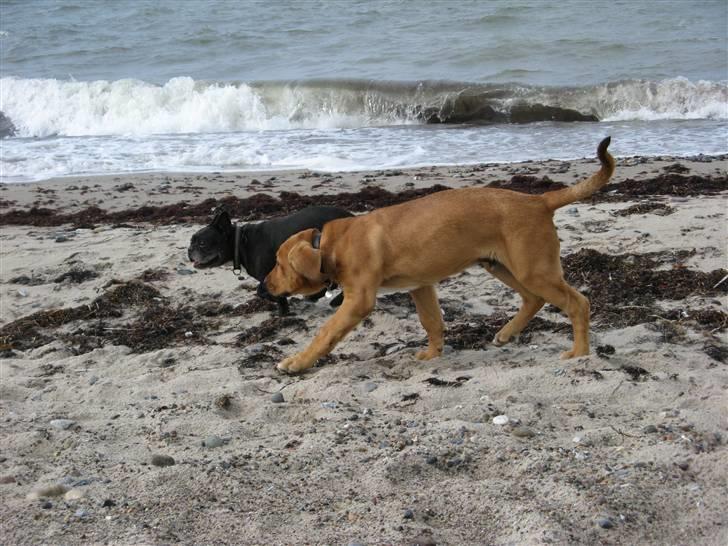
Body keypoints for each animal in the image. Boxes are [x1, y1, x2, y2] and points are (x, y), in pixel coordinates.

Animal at [189, 205, 352, 314]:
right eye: (191, 241)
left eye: (202, 243)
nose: (189, 250)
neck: (240, 242)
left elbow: (262, 291)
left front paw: (283, 311)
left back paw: (334, 300)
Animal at [264, 138, 616, 372]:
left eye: (279, 264)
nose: (265, 287)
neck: (328, 244)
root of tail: (538, 201)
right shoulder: (420, 286)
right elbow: (431, 321)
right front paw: (433, 355)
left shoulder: (358, 300)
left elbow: (325, 332)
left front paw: (297, 362)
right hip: (502, 265)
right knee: (533, 299)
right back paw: (506, 333)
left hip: (533, 268)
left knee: (576, 303)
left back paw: (579, 353)